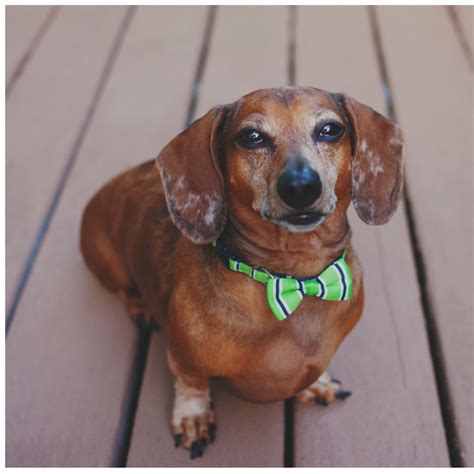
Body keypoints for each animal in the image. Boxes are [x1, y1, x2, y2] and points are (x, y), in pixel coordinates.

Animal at [80, 86, 404, 460]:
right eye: (251, 137)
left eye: (330, 130)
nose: (301, 186)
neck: (294, 279)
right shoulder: (183, 357)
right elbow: (192, 384)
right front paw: (193, 417)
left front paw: (316, 384)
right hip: (108, 263)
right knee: (124, 290)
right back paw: (142, 308)